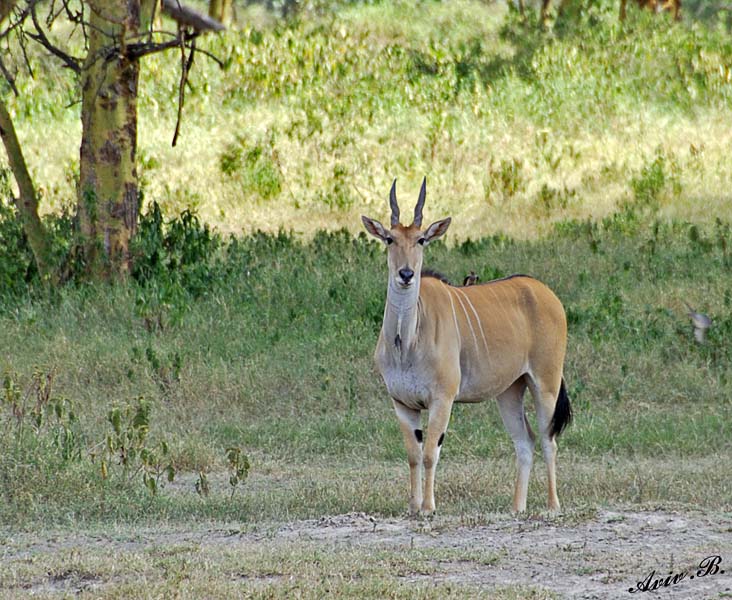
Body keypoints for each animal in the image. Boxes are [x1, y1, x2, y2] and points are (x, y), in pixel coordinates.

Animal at [360, 177, 572, 510]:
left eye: (421, 240)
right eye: (390, 239)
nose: (406, 274)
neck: (405, 342)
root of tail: (546, 294)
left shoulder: (442, 399)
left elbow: (430, 453)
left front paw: (428, 507)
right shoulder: (402, 403)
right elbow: (412, 455)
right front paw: (413, 506)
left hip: (545, 383)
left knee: (548, 439)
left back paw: (552, 506)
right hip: (510, 391)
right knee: (525, 440)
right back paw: (517, 508)